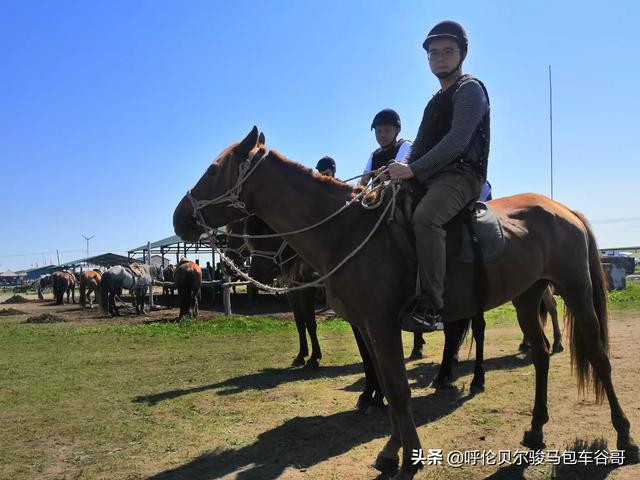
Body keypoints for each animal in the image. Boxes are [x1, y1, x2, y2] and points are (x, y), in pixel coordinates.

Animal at [172, 128, 636, 480]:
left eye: (213, 170)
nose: (180, 218)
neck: (348, 230)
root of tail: (564, 210)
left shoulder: (380, 323)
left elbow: (396, 388)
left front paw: (408, 456)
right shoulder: (369, 326)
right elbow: (387, 386)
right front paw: (391, 447)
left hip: (574, 291)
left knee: (598, 356)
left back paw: (625, 437)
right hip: (527, 295)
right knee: (539, 356)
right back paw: (536, 429)